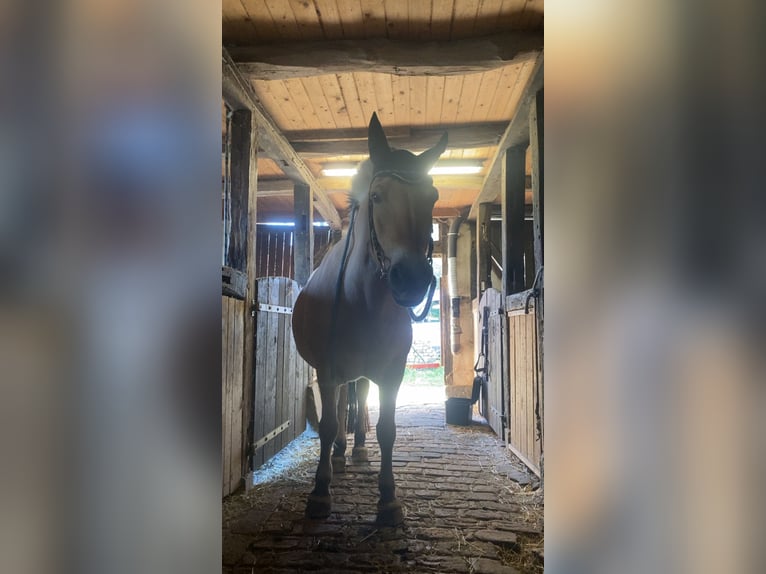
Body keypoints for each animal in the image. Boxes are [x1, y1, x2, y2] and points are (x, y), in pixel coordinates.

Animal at [292, 112, 446, 526]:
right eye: (377, 197)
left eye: (432, 198)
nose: (412, 280)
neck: (363, 301)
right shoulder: (327, 369)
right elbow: (328, 424)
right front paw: (320, 492)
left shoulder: (393, 372)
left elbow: (386, 428)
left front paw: (389, 500)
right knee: (343, 407)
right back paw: (340, 456)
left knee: (359, 399)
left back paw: (358, 451)